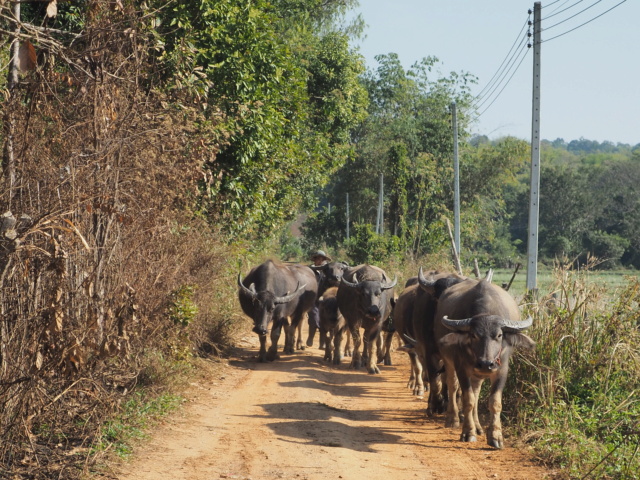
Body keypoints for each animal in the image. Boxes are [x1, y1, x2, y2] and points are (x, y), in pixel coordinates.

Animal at [436, 276, 536, 448]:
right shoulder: (462, 368)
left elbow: (494, 402)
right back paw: (453, 419)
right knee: (452, 385)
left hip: (478, 374)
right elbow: (467, 400)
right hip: (448, 361)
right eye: (474, 335)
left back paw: (478, 427)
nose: (485, 364)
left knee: (476, 393)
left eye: (499, 335)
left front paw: (496, 436)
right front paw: (468, 432)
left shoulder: (502, 369)